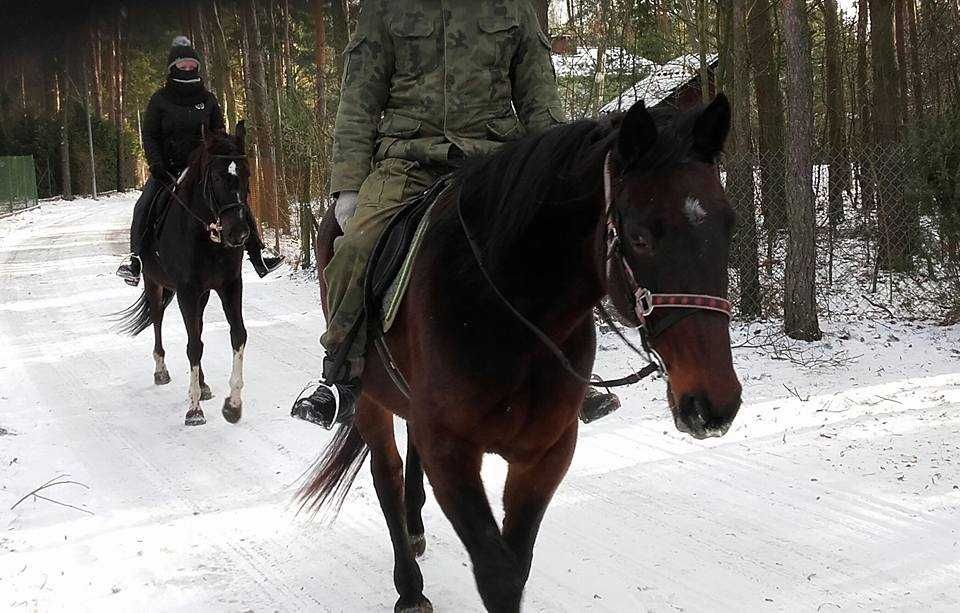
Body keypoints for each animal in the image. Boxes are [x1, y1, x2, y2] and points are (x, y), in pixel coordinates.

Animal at [116, 126, 253, 426]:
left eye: (247, 173)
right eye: (216, 177)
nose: (239, 233)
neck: (206, 234)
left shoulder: (229, 285)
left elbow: (237, 335)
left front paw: (233, 405)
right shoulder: (187, 290)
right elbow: (193, 346)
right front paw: (194, 410)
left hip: (202, 294)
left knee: (198, 329)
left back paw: (203, 385)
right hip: (155, 284)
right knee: (158, 321)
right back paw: (161, 371)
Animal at [304, 97, 740, 612]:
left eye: (729, 226)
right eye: (639, 237)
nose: (714, 403)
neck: (503, 307)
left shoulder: (545, 455)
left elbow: (519, 562)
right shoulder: (450, 451)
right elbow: (500, 576)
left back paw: (414, 528)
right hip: (371, 396)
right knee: (385, 474)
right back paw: (409, 586)